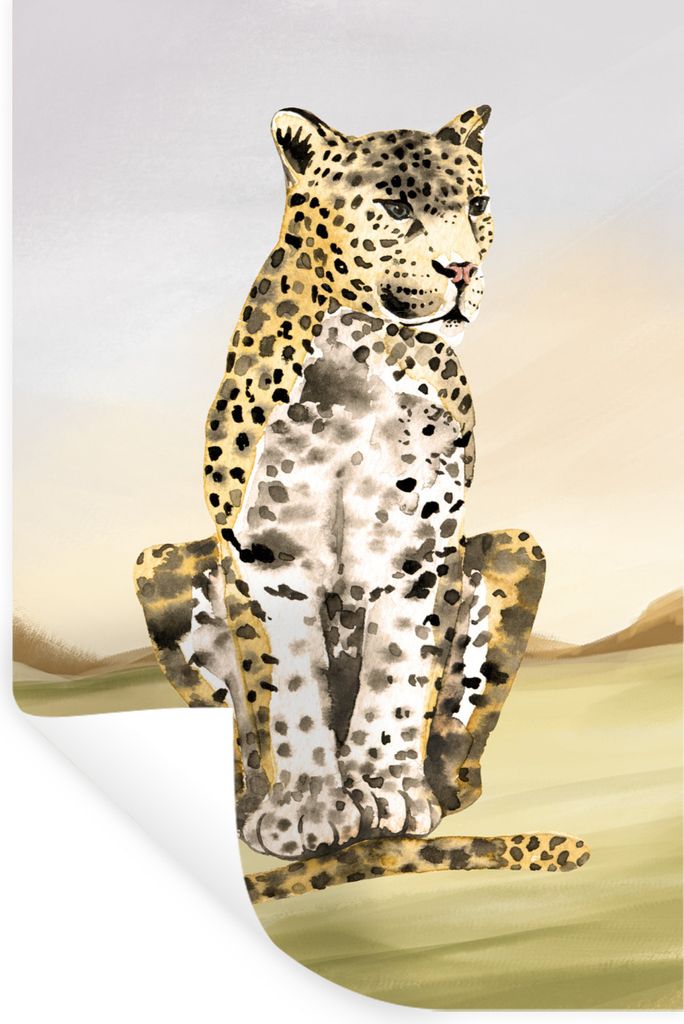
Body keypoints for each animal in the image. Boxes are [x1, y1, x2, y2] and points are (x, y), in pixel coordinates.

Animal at [134, 105, 590, 902]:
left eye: (476, 204)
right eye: (397, 207)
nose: (461, 271)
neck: (365, 353)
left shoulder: (418, 547)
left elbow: (400, 671)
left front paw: (384, 792)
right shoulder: (266, 554)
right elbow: (284, 687)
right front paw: (306, 810)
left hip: (518, 550)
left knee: (459, 757)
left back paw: (428, 798)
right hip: (156, 563)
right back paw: (251, 808)